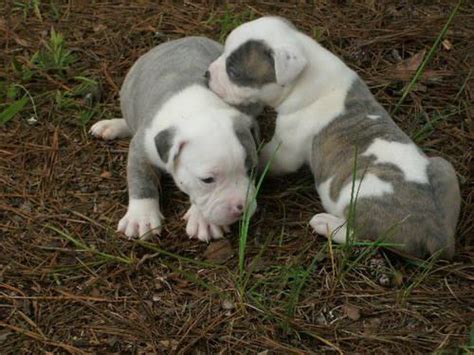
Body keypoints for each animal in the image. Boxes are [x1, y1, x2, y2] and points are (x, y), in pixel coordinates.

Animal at [90, 36, 260, 242]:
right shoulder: (141, 150)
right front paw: (141, 217)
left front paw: (203, 221)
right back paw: (112, 125)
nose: (241, 207)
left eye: (252, 170)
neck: (197, 110)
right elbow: (141, 180)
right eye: (207, 180)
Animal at [206, 16, 460, 258]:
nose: (207, 73)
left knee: (361, 237)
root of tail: (438, 234)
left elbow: (268, 158)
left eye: (233, 72)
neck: (307, 72)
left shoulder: (286, 150)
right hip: (444, 167)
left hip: (360, 190)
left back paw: (326, 224)